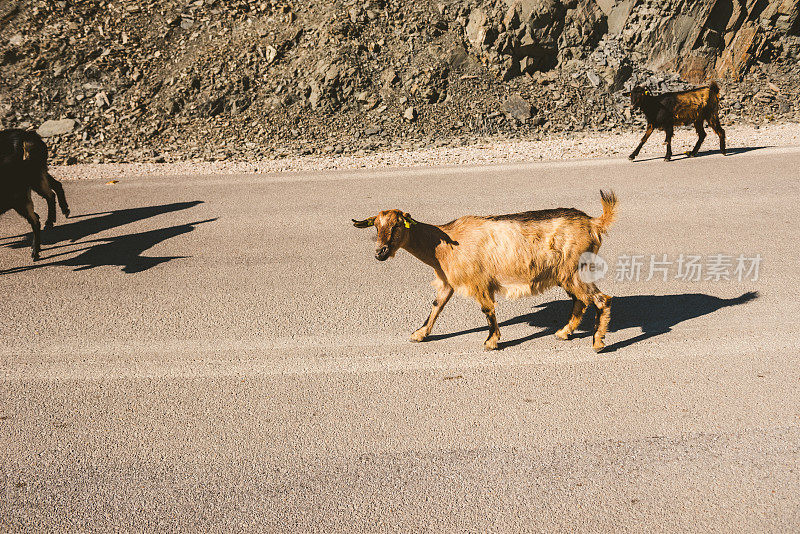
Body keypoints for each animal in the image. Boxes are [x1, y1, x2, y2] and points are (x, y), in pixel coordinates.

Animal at [0, 131, 69, 262]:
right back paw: (54, 218)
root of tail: (31, 135)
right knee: (54, 189)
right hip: (37, 174)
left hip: (34, 177)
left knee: (47, 198)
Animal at [352, 191, 620, 354]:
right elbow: (437, 305)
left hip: (575, 269)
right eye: (376, 226)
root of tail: (594, 222)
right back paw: (564, 333)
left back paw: (597, 342)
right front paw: (419, 334)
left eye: (398, 226)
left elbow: (487, 310)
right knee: (580, 301)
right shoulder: (447, 281)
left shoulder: (478, 281)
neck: (444, 244)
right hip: (566, 274)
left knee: (601, 300)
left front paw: (491, 341)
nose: (380, 252)